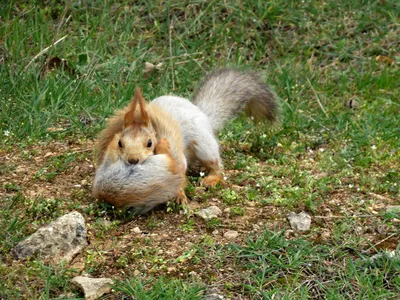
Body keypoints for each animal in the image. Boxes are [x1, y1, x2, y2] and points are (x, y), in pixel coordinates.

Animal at [92, 68, 280, 213]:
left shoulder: (175, 152)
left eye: (149, 143)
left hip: (204, 145)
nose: (133, 160)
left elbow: (180, 170)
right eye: (120, 143)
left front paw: (180, 195)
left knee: (217, 166)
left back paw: (211, 179)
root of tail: (202, 113)